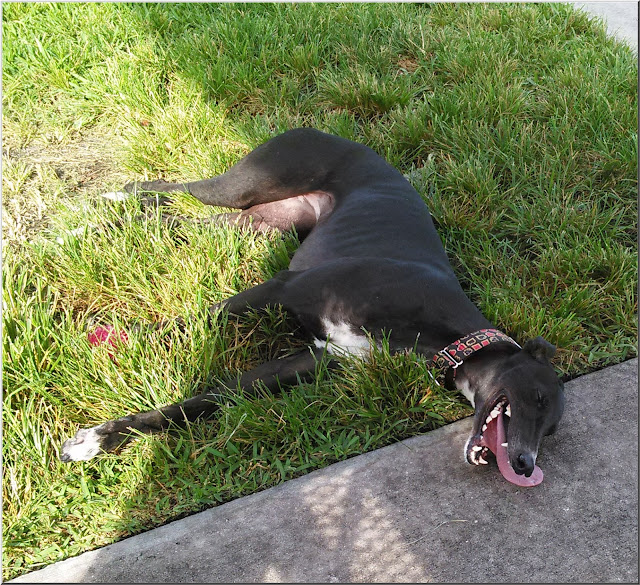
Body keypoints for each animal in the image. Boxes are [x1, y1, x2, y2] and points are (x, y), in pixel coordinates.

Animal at [61, 130, 564, 486]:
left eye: (551, 432)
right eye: (538, 398)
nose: (525, 465)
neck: (442, 334)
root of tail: (331, 132)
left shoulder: (316, 359)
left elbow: (212, 398)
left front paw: (101, 438)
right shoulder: (284, 287)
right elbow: (199, 320)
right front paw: (123, 340)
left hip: (257, 223)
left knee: (174, 218)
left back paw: (98, 225)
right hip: (244, 185)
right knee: (169, 185)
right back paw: (110, 200)